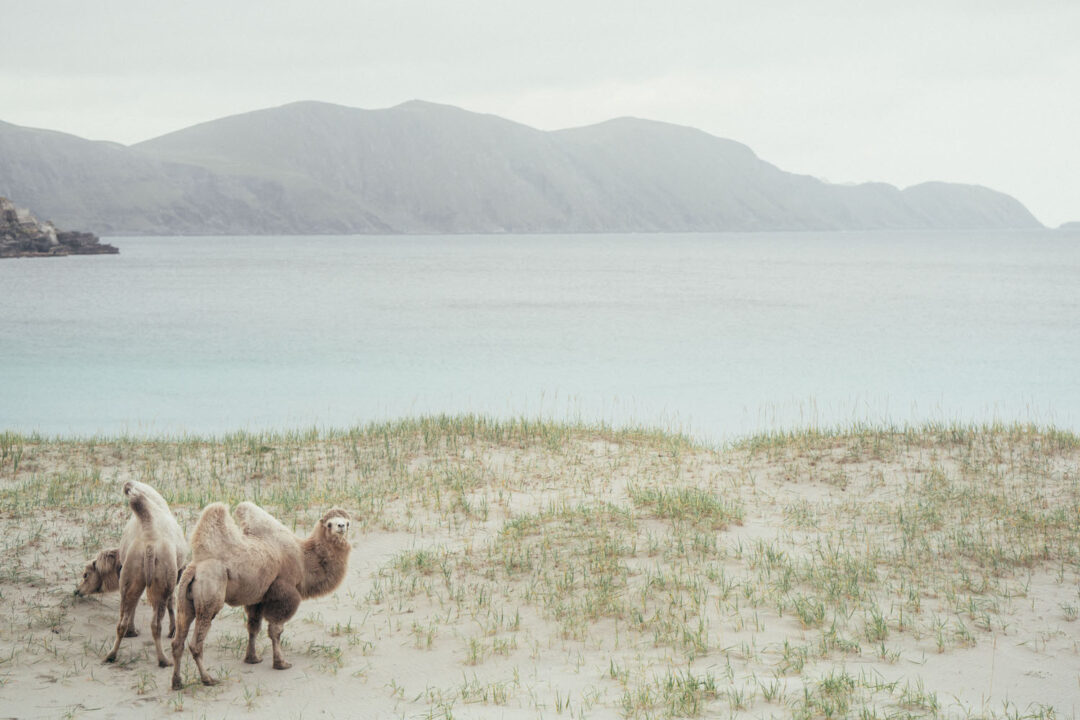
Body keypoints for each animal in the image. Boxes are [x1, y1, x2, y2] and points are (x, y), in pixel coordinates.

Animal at [76, 481, 192, 669]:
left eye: (85, 574)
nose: (76, 590)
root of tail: (149, 542)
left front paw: (133, 631)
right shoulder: (178, 571)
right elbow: (171, 601)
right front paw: (172, 630)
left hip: (132, 571)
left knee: (121, 621)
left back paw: (111, 655)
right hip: (163, 576)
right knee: (156, 623)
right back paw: (163, 659)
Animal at [170, 505, 352, 690]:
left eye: (348, 522)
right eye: (329, 524)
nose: (340, 527)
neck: (303, 559)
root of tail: (195, 567)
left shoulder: (258, 599)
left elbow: (253, 627)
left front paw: (252, 658)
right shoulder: (284, 593)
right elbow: (275, 630)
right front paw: (281, 663)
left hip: (184, 599)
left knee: (178, 641)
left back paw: (177, 682)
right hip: (210, 595)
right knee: (196, 642)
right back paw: (208, 679)